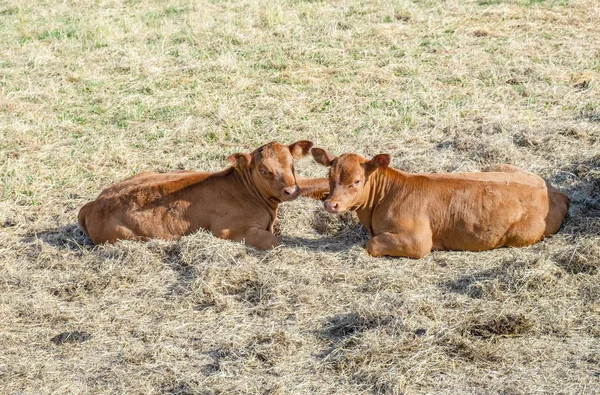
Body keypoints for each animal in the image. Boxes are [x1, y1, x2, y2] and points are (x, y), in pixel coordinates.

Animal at [78, 141, 328, 249]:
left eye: (292, 164)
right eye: (264, 170)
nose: (290, 190)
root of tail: (92, 205)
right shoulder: (228, 231)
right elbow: (274, 242)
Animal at [312, 148, 568, 260]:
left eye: (356, 181)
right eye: (329, 176)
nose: (331, 204)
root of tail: (555, 192)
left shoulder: (418, 241)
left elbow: (371, 244)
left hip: (522, 235)